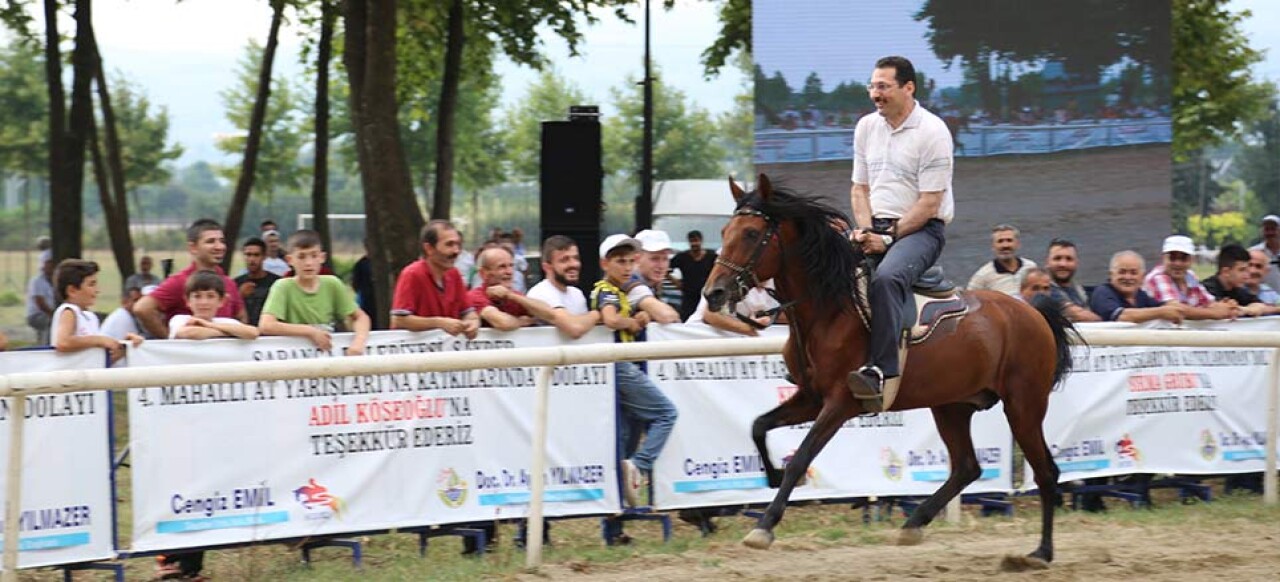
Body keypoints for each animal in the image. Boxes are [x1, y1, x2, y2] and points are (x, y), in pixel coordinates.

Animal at [706, 175, 1075, 567]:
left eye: (751, 233)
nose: (713, 293)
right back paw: (914, 523)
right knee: (967, 467)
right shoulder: (810, 397)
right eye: (725, 231)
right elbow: (759, 426)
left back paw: (1042, 551)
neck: (830, 309)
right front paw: (772, 476)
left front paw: (765, 525)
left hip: (1023, 405)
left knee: (1046, 472)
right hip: (952, 406)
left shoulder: (841, 402)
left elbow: (801, 457)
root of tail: (1033, 312)